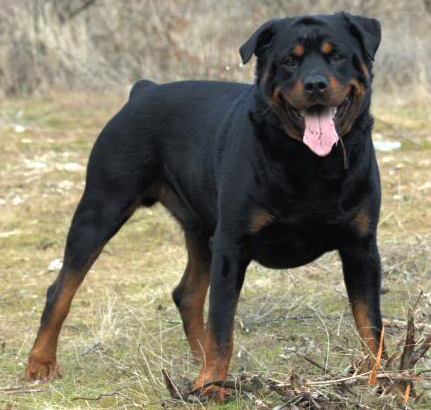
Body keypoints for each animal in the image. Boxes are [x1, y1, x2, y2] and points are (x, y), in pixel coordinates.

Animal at [27, 12, 384, 400]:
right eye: (290, 61)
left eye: (338, 56)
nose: (315, 83)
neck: (312, 164)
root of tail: (144, 90)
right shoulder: (231, 246)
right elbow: (222, 324)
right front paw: (212, 385)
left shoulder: (361, 248)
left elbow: (370, 322)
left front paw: (379, 377)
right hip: (101, 208)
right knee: (61, 290)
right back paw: (41, 362)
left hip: (200, 230)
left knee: (187, 295)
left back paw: (199, 360)